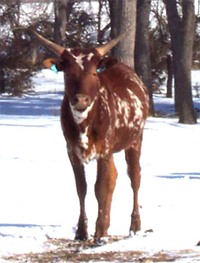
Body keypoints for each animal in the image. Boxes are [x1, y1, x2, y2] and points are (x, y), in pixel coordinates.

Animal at [31, 30, 149, 243]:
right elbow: (82, 187)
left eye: (94, 72)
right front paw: (82, 230)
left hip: (135, 140)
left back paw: (135, 225)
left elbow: (100, 187)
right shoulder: (72, 151)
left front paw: (100, 233)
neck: (84, 124)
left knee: (134, 177)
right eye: (68, 72)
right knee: (114, 177)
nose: (81, 100)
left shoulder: (104, 150)